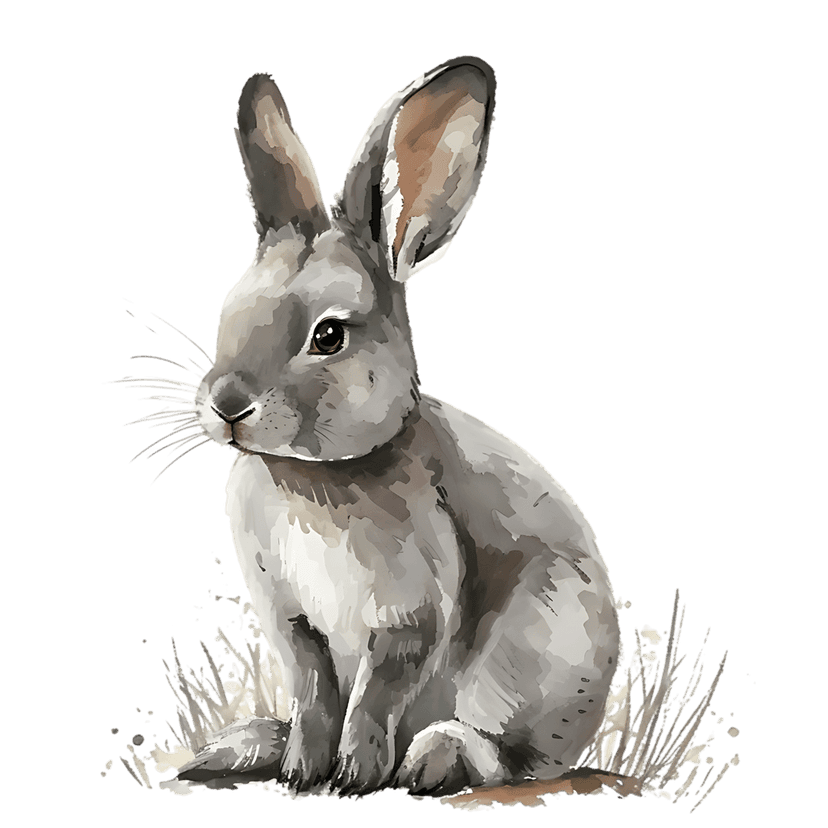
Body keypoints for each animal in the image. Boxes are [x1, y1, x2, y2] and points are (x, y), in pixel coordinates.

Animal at [174, 56, 621, 797]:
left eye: (328, 336)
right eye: (229, 309)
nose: (228, 406)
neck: (314, 475)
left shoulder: (412, 614)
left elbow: (375, 694)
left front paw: (353, 774)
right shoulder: (291, 620)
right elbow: (314, 691)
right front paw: (301, 770)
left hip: (536, 654)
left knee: (511, 757)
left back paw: (433, 760)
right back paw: (245, 745)